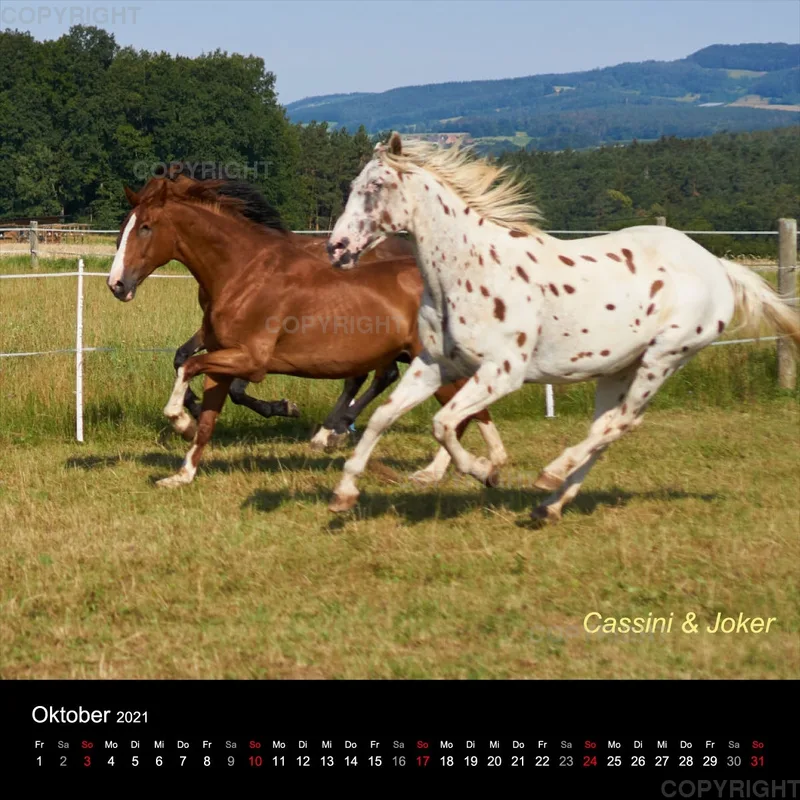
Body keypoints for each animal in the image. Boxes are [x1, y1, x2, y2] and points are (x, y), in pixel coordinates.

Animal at [107, 172, 508, 488]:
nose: (116, 284)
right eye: (123, 228)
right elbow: (205, 414)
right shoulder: (221, 357)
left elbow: (189, 369)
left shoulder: (250, 361)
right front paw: (181, 474)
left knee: (461, 410)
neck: (242, 272)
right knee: (455, 407)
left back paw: (469, 466)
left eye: (146, 227)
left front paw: (180, 419)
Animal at [325, 132, 800, 519]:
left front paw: (485, 471)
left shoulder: (502, 373)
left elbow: (442, 423)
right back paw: (550, 506)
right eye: (353, 187)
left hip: (663, 359)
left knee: (621, 423)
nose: (337, 248)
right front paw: (344, 494)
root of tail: (717, 266)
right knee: (608, 429)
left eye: (376, 186)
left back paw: (549, 477)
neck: (469, 269)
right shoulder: (437, 364)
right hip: (617, 368)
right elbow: (383, 417)